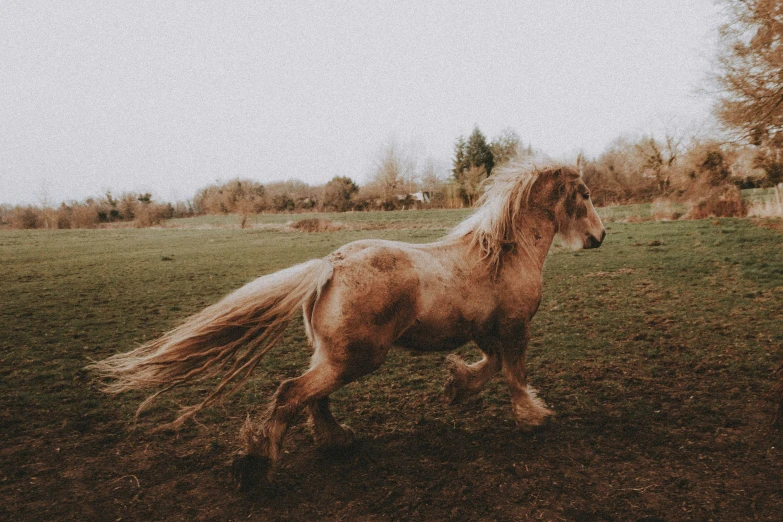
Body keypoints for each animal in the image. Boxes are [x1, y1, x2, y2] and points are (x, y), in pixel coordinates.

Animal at [90, 160, 608, 486]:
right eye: (583, 195)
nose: (601, 236)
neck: (504, 254)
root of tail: (331, 265)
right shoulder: (515, 329)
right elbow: (514, 374)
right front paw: (533, 416)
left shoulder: (488, 332)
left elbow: (492, 367)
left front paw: (457, 388)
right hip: (355, 358)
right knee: (292, 394)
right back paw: (258, 464)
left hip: (336, 356)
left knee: (312, 398)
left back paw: (335, 441)